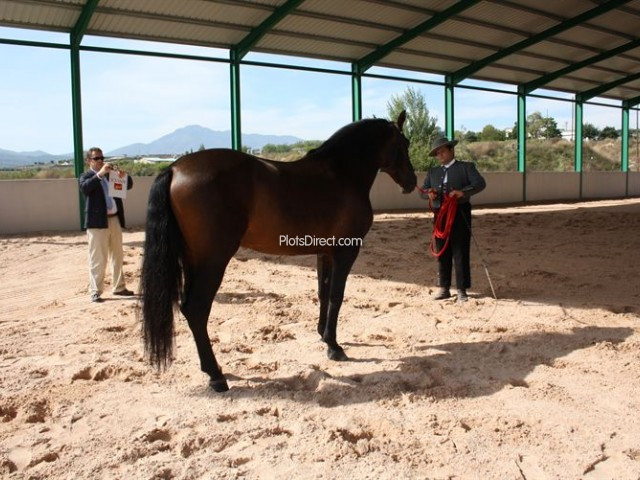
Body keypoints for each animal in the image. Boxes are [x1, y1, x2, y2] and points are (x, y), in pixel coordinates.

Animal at [140, 110, 418, 392]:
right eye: (404, 143)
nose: (412, 181)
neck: (342, 175)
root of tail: (174, 168)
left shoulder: (324, 253)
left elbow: (323, 293)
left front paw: (322, 335)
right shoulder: (345, 251)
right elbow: (336, 296)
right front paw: (334, 347)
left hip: (191, 260)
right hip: (213, 261)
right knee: (197, 309)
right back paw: (216, 375)